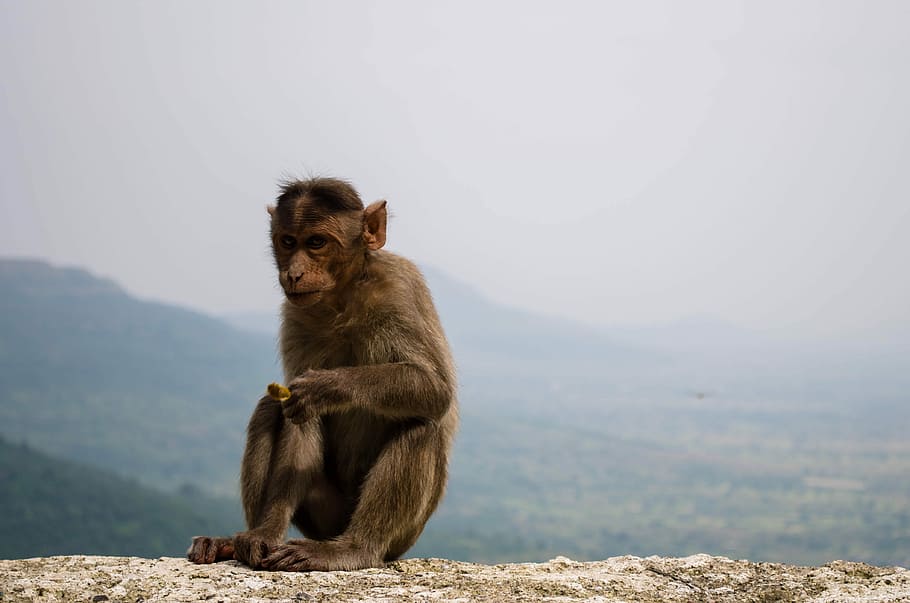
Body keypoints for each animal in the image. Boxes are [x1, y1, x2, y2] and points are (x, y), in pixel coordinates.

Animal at [186, 177, 457, 571]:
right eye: (288, 241)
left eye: (316, 242)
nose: (293, 273)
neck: (343, 298)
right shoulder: (296, 317)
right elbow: (296, 415)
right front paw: (264, 533)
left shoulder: (399, 288)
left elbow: (434, 389)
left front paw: (328, 387)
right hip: (322, 514)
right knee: (269, 408)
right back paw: (240, 539)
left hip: (400, 536)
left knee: (421, 425)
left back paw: (354, 548)